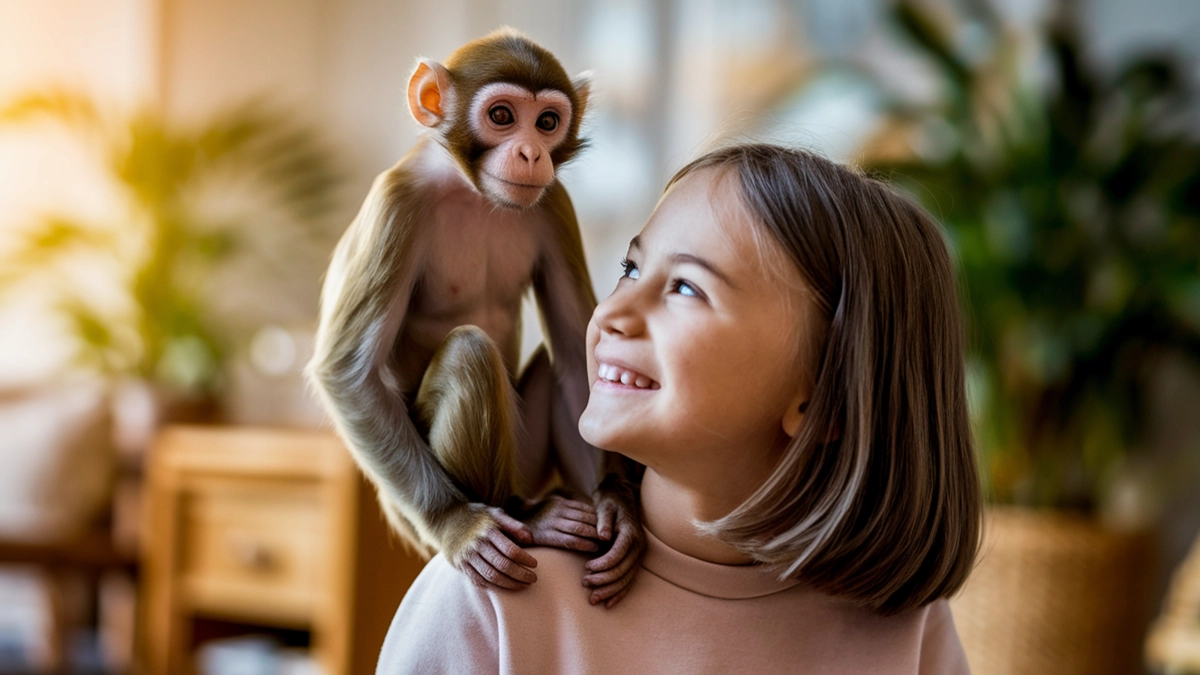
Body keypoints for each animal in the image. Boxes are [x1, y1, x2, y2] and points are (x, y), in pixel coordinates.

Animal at [307, 29, 643, 605]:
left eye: (547, 122)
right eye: (502, 115)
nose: (531, 152)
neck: (472, 194)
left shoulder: (555, 203)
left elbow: (576, 355)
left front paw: (615, 502)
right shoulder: (396, 204)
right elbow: (347, 375)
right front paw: (456, 524)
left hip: (528, 458)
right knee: (469, 352)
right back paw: (525, 515)